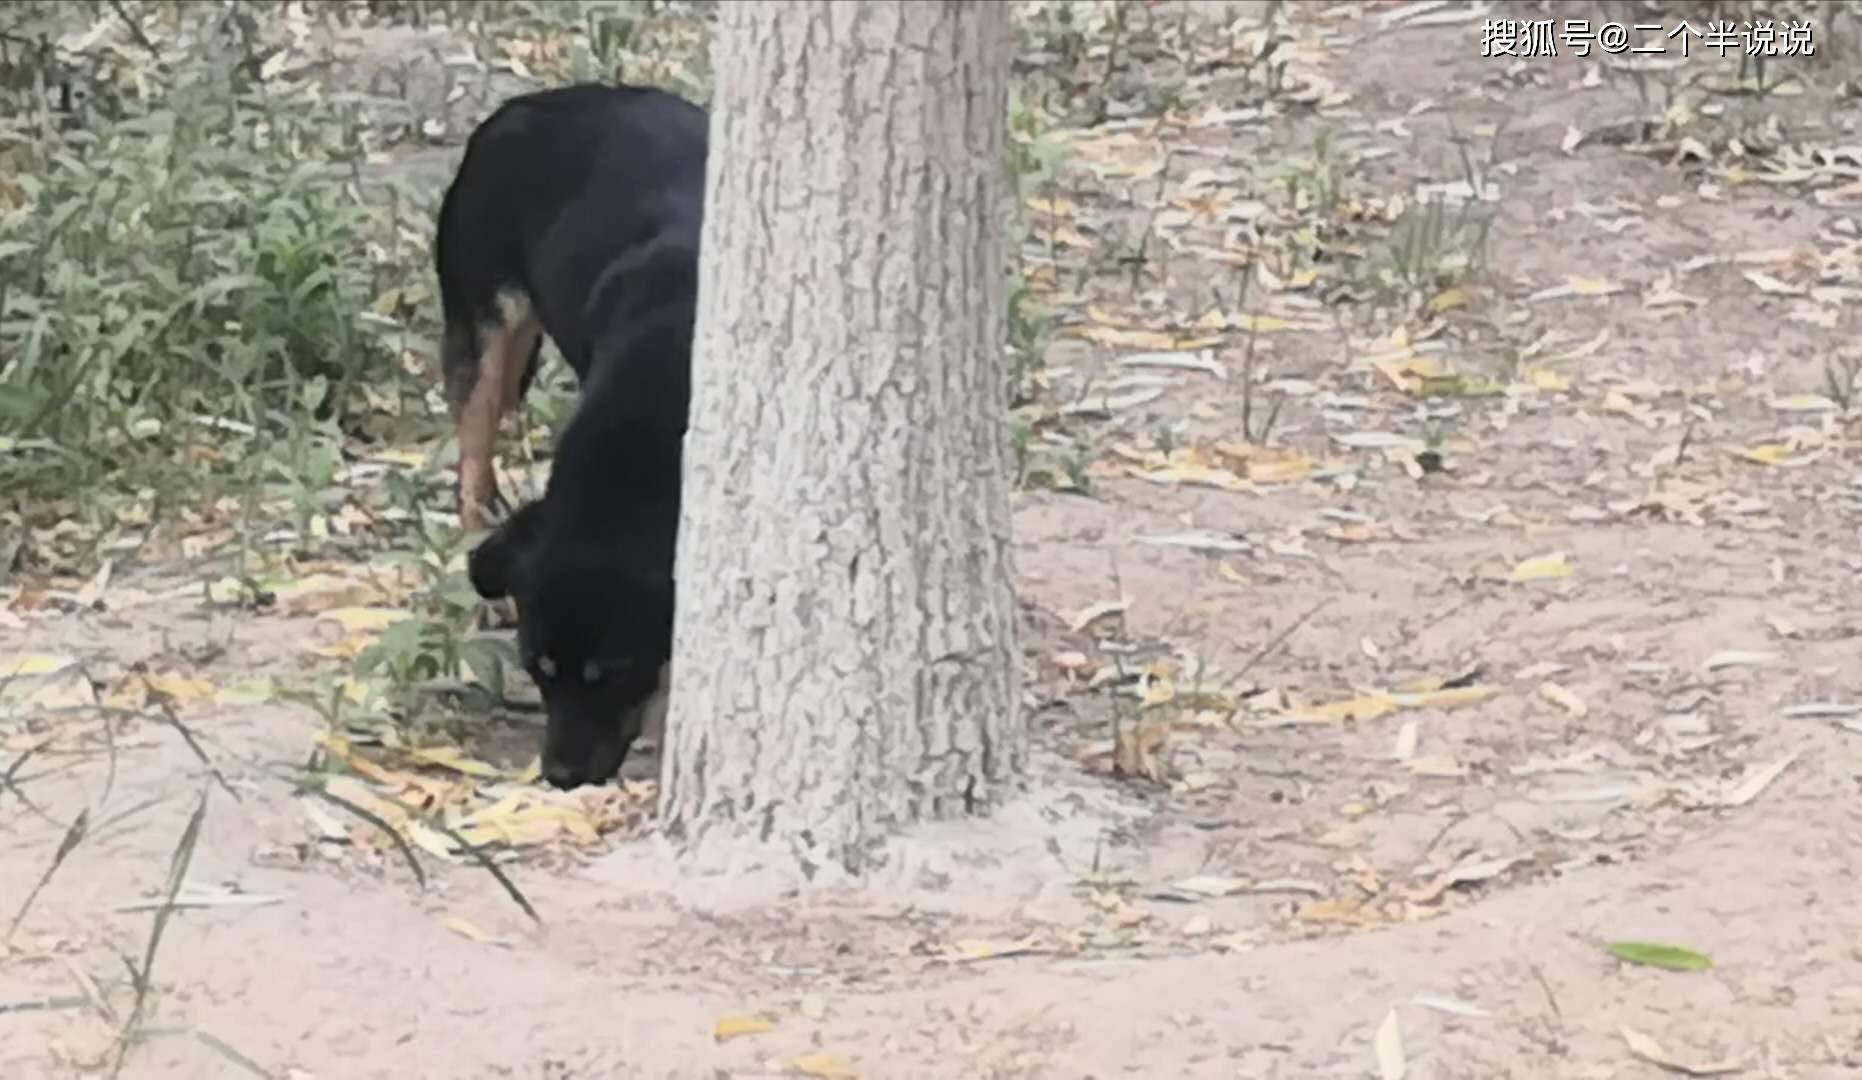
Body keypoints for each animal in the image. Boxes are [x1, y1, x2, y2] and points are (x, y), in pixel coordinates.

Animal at [431, 84, 707, 789]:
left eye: (610, 672)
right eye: (539, 669)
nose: (558, 775)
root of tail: (525, 104)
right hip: (487, 326)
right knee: (472, 462)